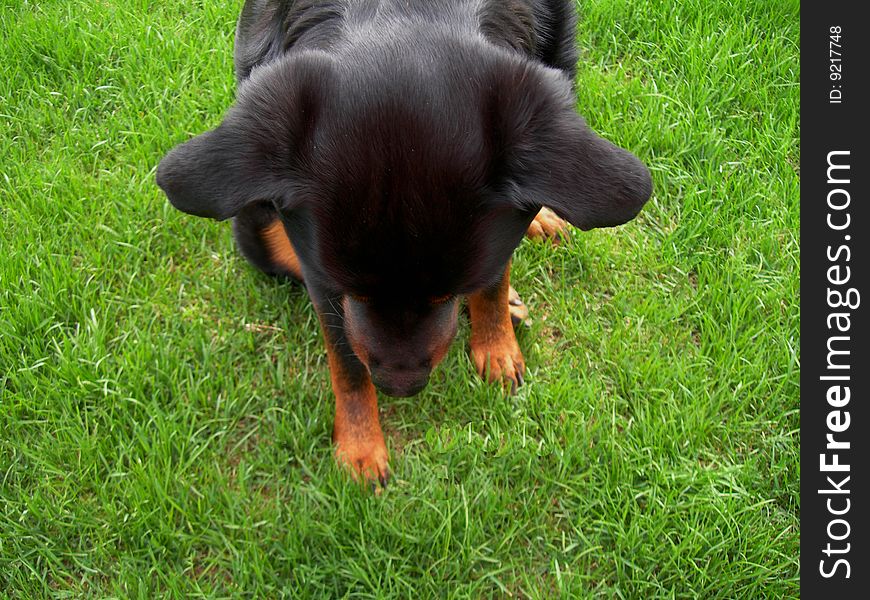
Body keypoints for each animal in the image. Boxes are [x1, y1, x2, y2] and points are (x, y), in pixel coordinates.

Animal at [157, 0, 652, 486]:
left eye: (443, 293)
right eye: (352, 291)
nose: (402, 388)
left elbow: (494, 273)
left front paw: (496, 343)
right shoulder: (319, 272)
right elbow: (346, 360)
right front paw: (360, 448)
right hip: (255, 228)